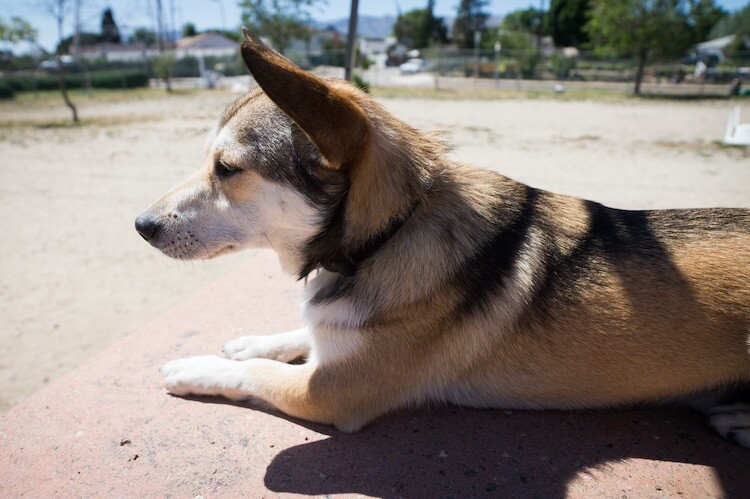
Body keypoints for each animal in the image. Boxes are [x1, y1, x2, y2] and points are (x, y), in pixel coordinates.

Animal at [137, 29, 750, 448]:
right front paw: (253, 341)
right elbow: (299, 334)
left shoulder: (331, 390)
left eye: (227, 169)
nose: (141, 225)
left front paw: (194, 368)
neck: (388, 234)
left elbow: (258, 373)